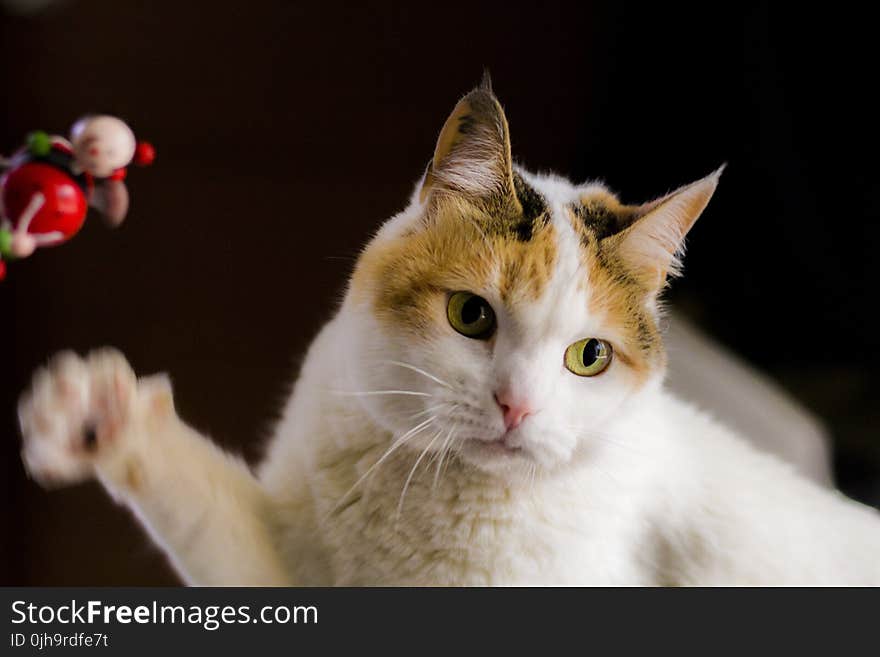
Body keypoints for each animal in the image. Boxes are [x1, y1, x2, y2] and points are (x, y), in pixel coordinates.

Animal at [15, 78, 880, 584]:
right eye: (472, 315)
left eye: (590, 356)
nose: (517, 407)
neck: (431, 496)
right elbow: (205, 507)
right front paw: (100, 419)